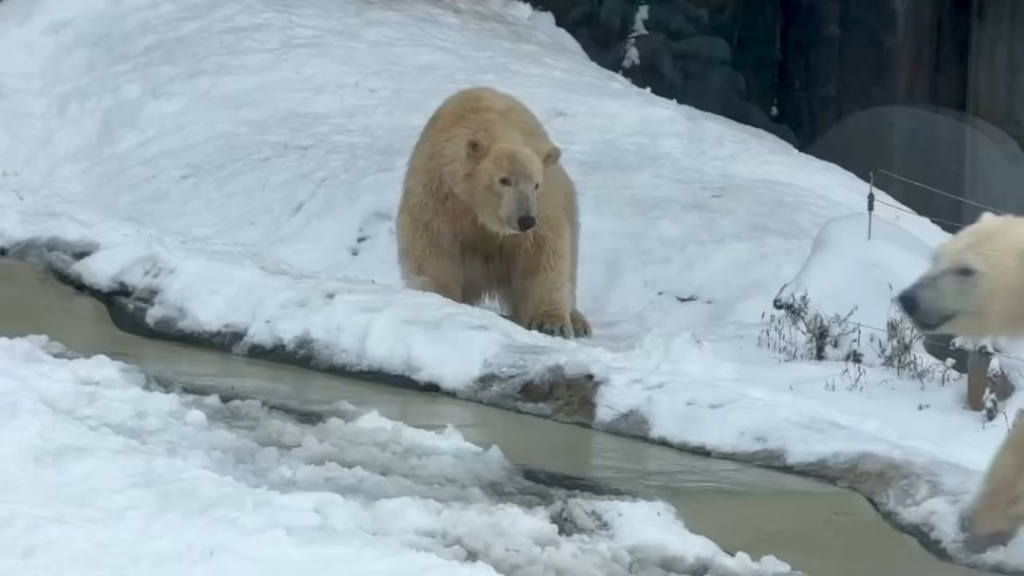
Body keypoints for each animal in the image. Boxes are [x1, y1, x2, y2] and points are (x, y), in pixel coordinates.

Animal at [395, 86, 591, 339]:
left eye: (536, 184)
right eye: (504, 180)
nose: (525, 220)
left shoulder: (542, 206)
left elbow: (541, 254)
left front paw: (551, 323)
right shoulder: (441, 193)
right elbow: (431, 244)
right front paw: (438, 297)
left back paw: (578, 321)